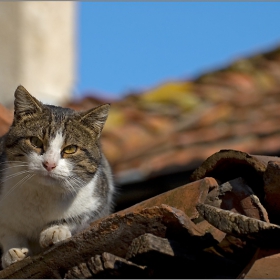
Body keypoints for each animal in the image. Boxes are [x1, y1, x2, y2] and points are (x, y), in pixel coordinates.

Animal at [0, 86, 115, 270]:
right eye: (35, 141)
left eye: (70, 149)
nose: (49, 164)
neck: (42, 195)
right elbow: (9, 232)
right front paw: (13, 251)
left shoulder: (98, 201)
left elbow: (77, 217)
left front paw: (55, 229)